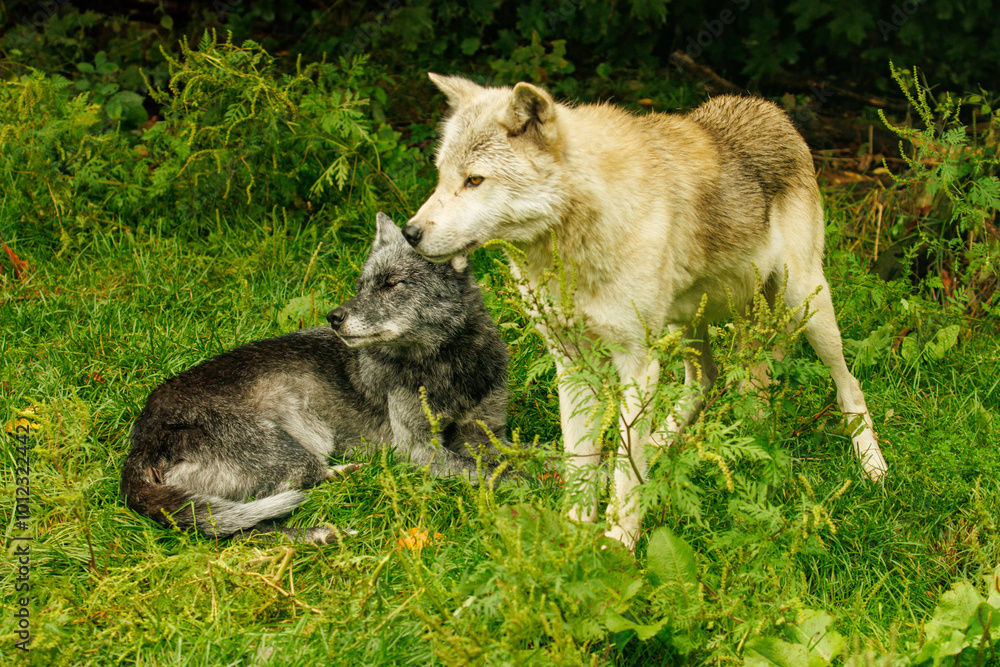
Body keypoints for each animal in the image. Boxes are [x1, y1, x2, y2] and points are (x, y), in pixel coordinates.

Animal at [121, 212, 509, 542]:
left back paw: (346, 474)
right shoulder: (418, 449)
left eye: (391, 284)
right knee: (244, 530)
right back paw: (322, 533)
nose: (334, 317)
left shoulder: (488, 433)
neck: (450, 364)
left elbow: (511, 456)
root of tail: (140, 444)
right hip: (287, 458)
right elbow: (493, 471)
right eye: (361, 286)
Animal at [403, 74, 889, 550]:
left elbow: (624, 473)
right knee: (707, 381)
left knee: (848, 383)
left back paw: (872, 463)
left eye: (475, 180)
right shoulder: (573, 364)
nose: (410, 232)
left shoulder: (637, 364)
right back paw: (663, 443)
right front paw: (573, 539)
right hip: (689, 320)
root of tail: (766, 107)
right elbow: (582, 462)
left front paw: (618, 542)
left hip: (806, 303)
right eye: (441, 177)